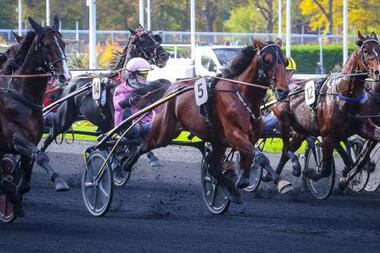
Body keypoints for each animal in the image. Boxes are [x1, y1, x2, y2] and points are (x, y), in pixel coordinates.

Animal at [0, 16, 71, 217]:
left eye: (63, 43)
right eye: (46, 46)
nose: (65, 76)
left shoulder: (31, 140)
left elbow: (26, 179)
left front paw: (15, 200)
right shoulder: (15, 137)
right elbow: (40, 156)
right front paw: (59, 181)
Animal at [121, 39, 290, 202]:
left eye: (285, 61)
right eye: (267, 60)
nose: (283, 91)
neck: (241, 96)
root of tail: (172, 87)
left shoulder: (250, 137)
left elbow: (250, 160)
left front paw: (242, 180)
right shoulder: (234, 135)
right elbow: (261, 157)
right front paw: (281, 182)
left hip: (217, 142)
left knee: (213, 167)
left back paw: (232, 190)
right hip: (163, 133)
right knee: (144, 145)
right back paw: (125, 165)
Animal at [268, 31, 380, 183]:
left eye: (379, 48)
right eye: (365, 50)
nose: (378, 72)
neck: (344, 94)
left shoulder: (361, 126)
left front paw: (347, 176)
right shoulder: (327, 135)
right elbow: (326, 168)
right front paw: (312, 173)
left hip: (301, 130)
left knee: (288, 150)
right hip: (284, 121)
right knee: (286, 149)